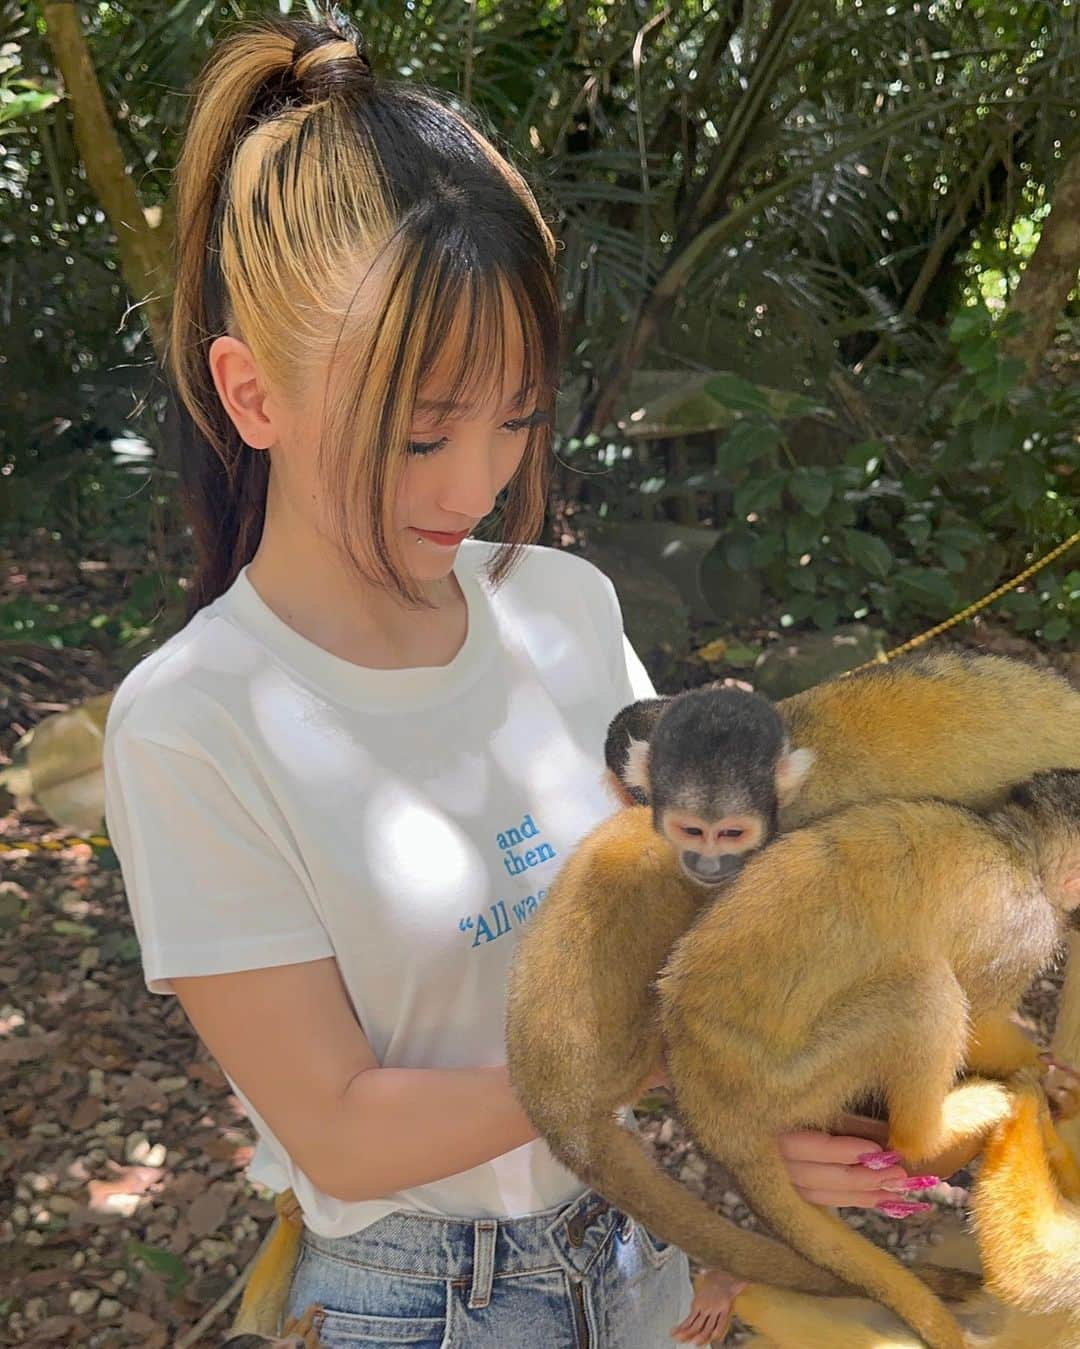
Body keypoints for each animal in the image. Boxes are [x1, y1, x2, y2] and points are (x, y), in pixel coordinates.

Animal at [652, 771, 1078, 1349]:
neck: (1018, 846)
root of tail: (703, 1094)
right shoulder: (1025, 931)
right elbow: (983, 1011)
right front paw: (1035, 1070)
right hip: (792, 1079)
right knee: (922, 989)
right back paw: (930, 1133)